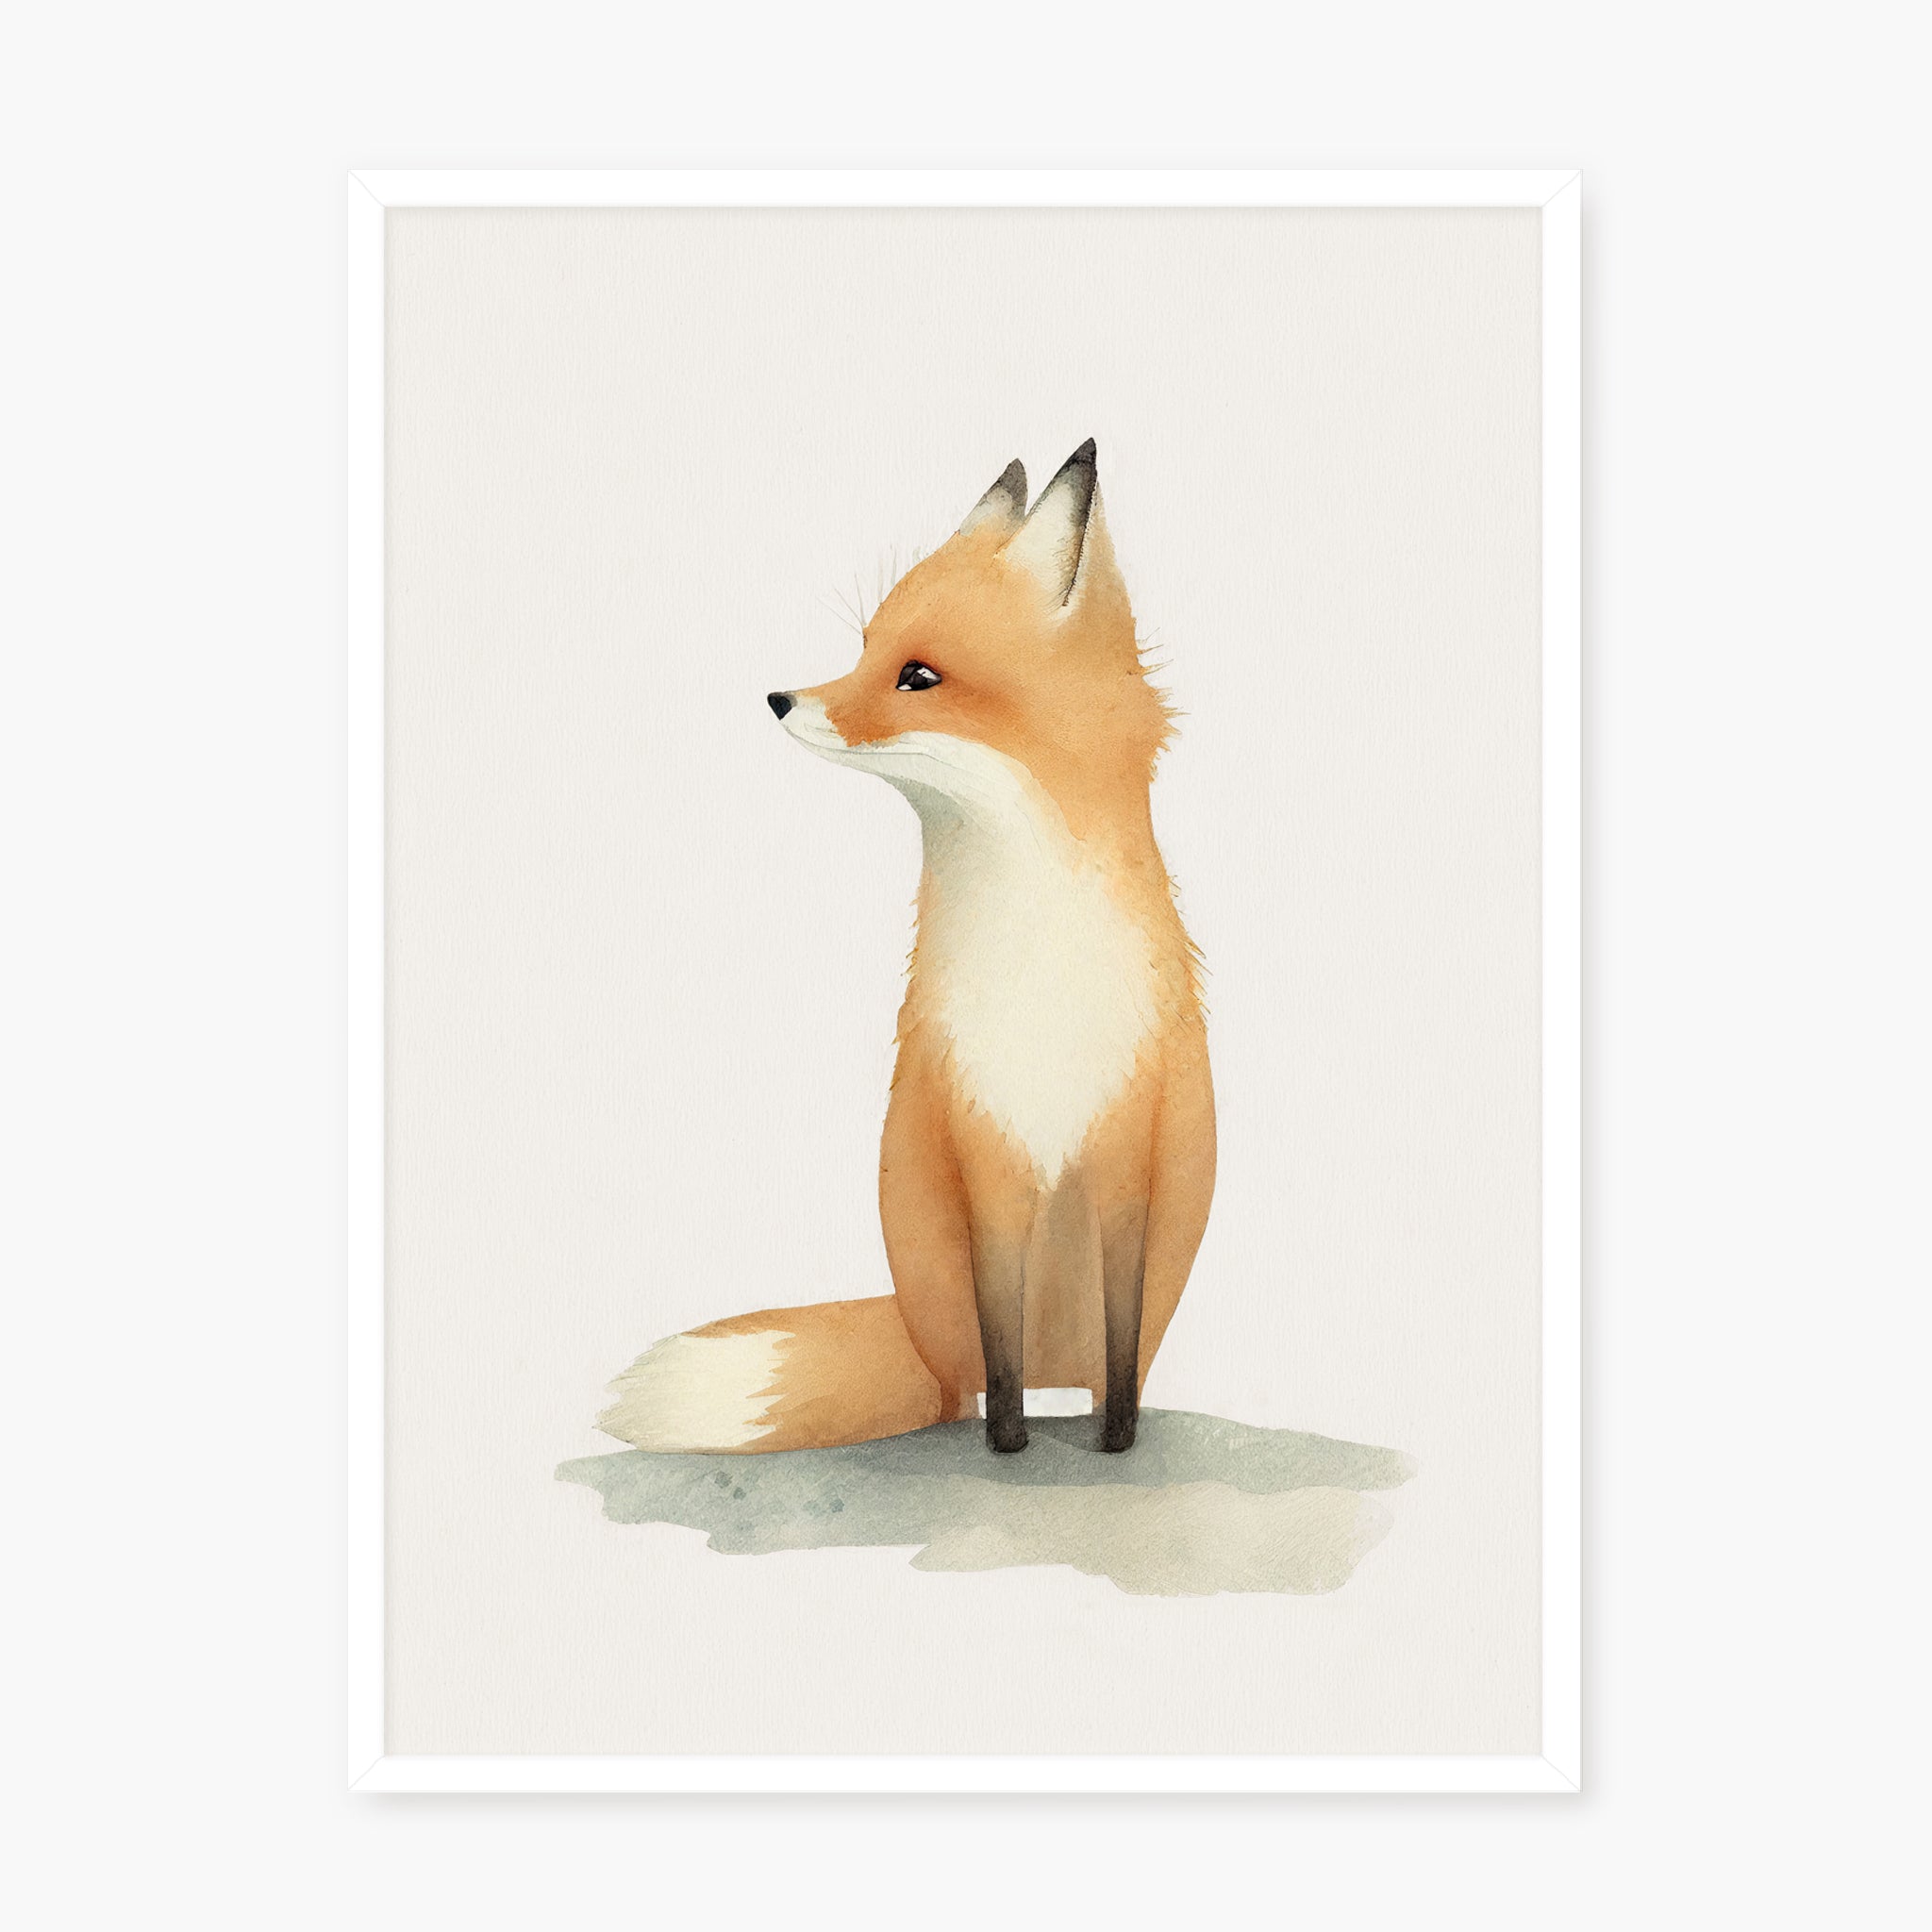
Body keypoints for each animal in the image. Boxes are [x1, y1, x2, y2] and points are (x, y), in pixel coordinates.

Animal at [599, 440, 1214, 1456]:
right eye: (863, 647)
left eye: (916, 676)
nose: (779, 697)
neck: (1036, 961)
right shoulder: (984, 1149)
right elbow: (1000, 1339)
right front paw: (1008, 1447)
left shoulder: (1127, 1147)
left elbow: (1122, 1341)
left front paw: (1117, 1441)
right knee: (964, 1379)